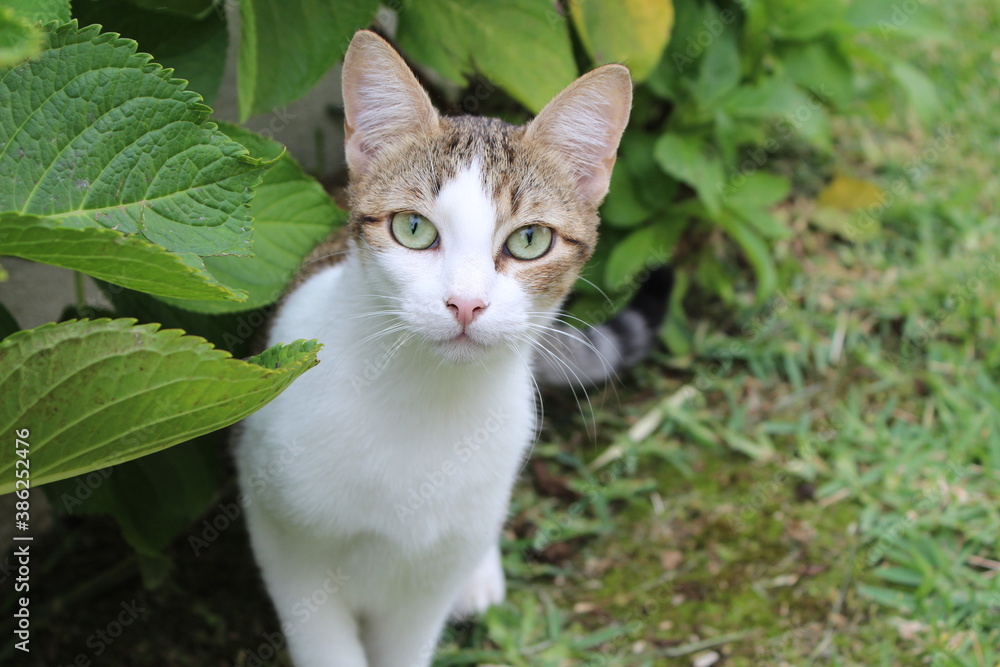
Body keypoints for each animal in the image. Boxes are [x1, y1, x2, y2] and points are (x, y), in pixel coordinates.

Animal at [237, 28, 652, 664]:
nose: (466, 303)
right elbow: (323, 638)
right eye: (413, 229)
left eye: (530, 240)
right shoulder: (287, 537)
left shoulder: (430, 574)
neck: (423, 402)